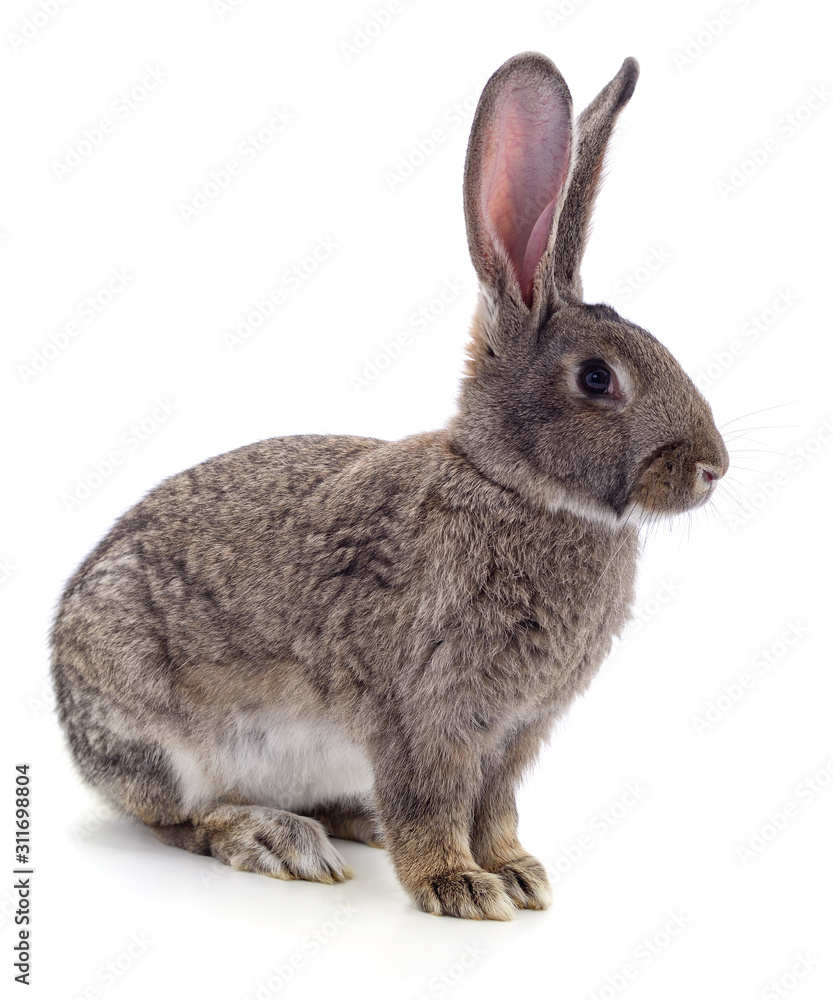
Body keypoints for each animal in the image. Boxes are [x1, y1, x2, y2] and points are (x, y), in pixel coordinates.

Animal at [51, 51, 728, 921]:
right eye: (595, 378)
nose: (713, 468)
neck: (513, 489)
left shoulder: (514, 734)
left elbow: (495, 808)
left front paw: (516, 873)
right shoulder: (424, 715)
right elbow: (430, 805)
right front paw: (457, 886)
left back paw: (349, 820)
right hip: (158, 735)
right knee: (182, 818)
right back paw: (277, 840)